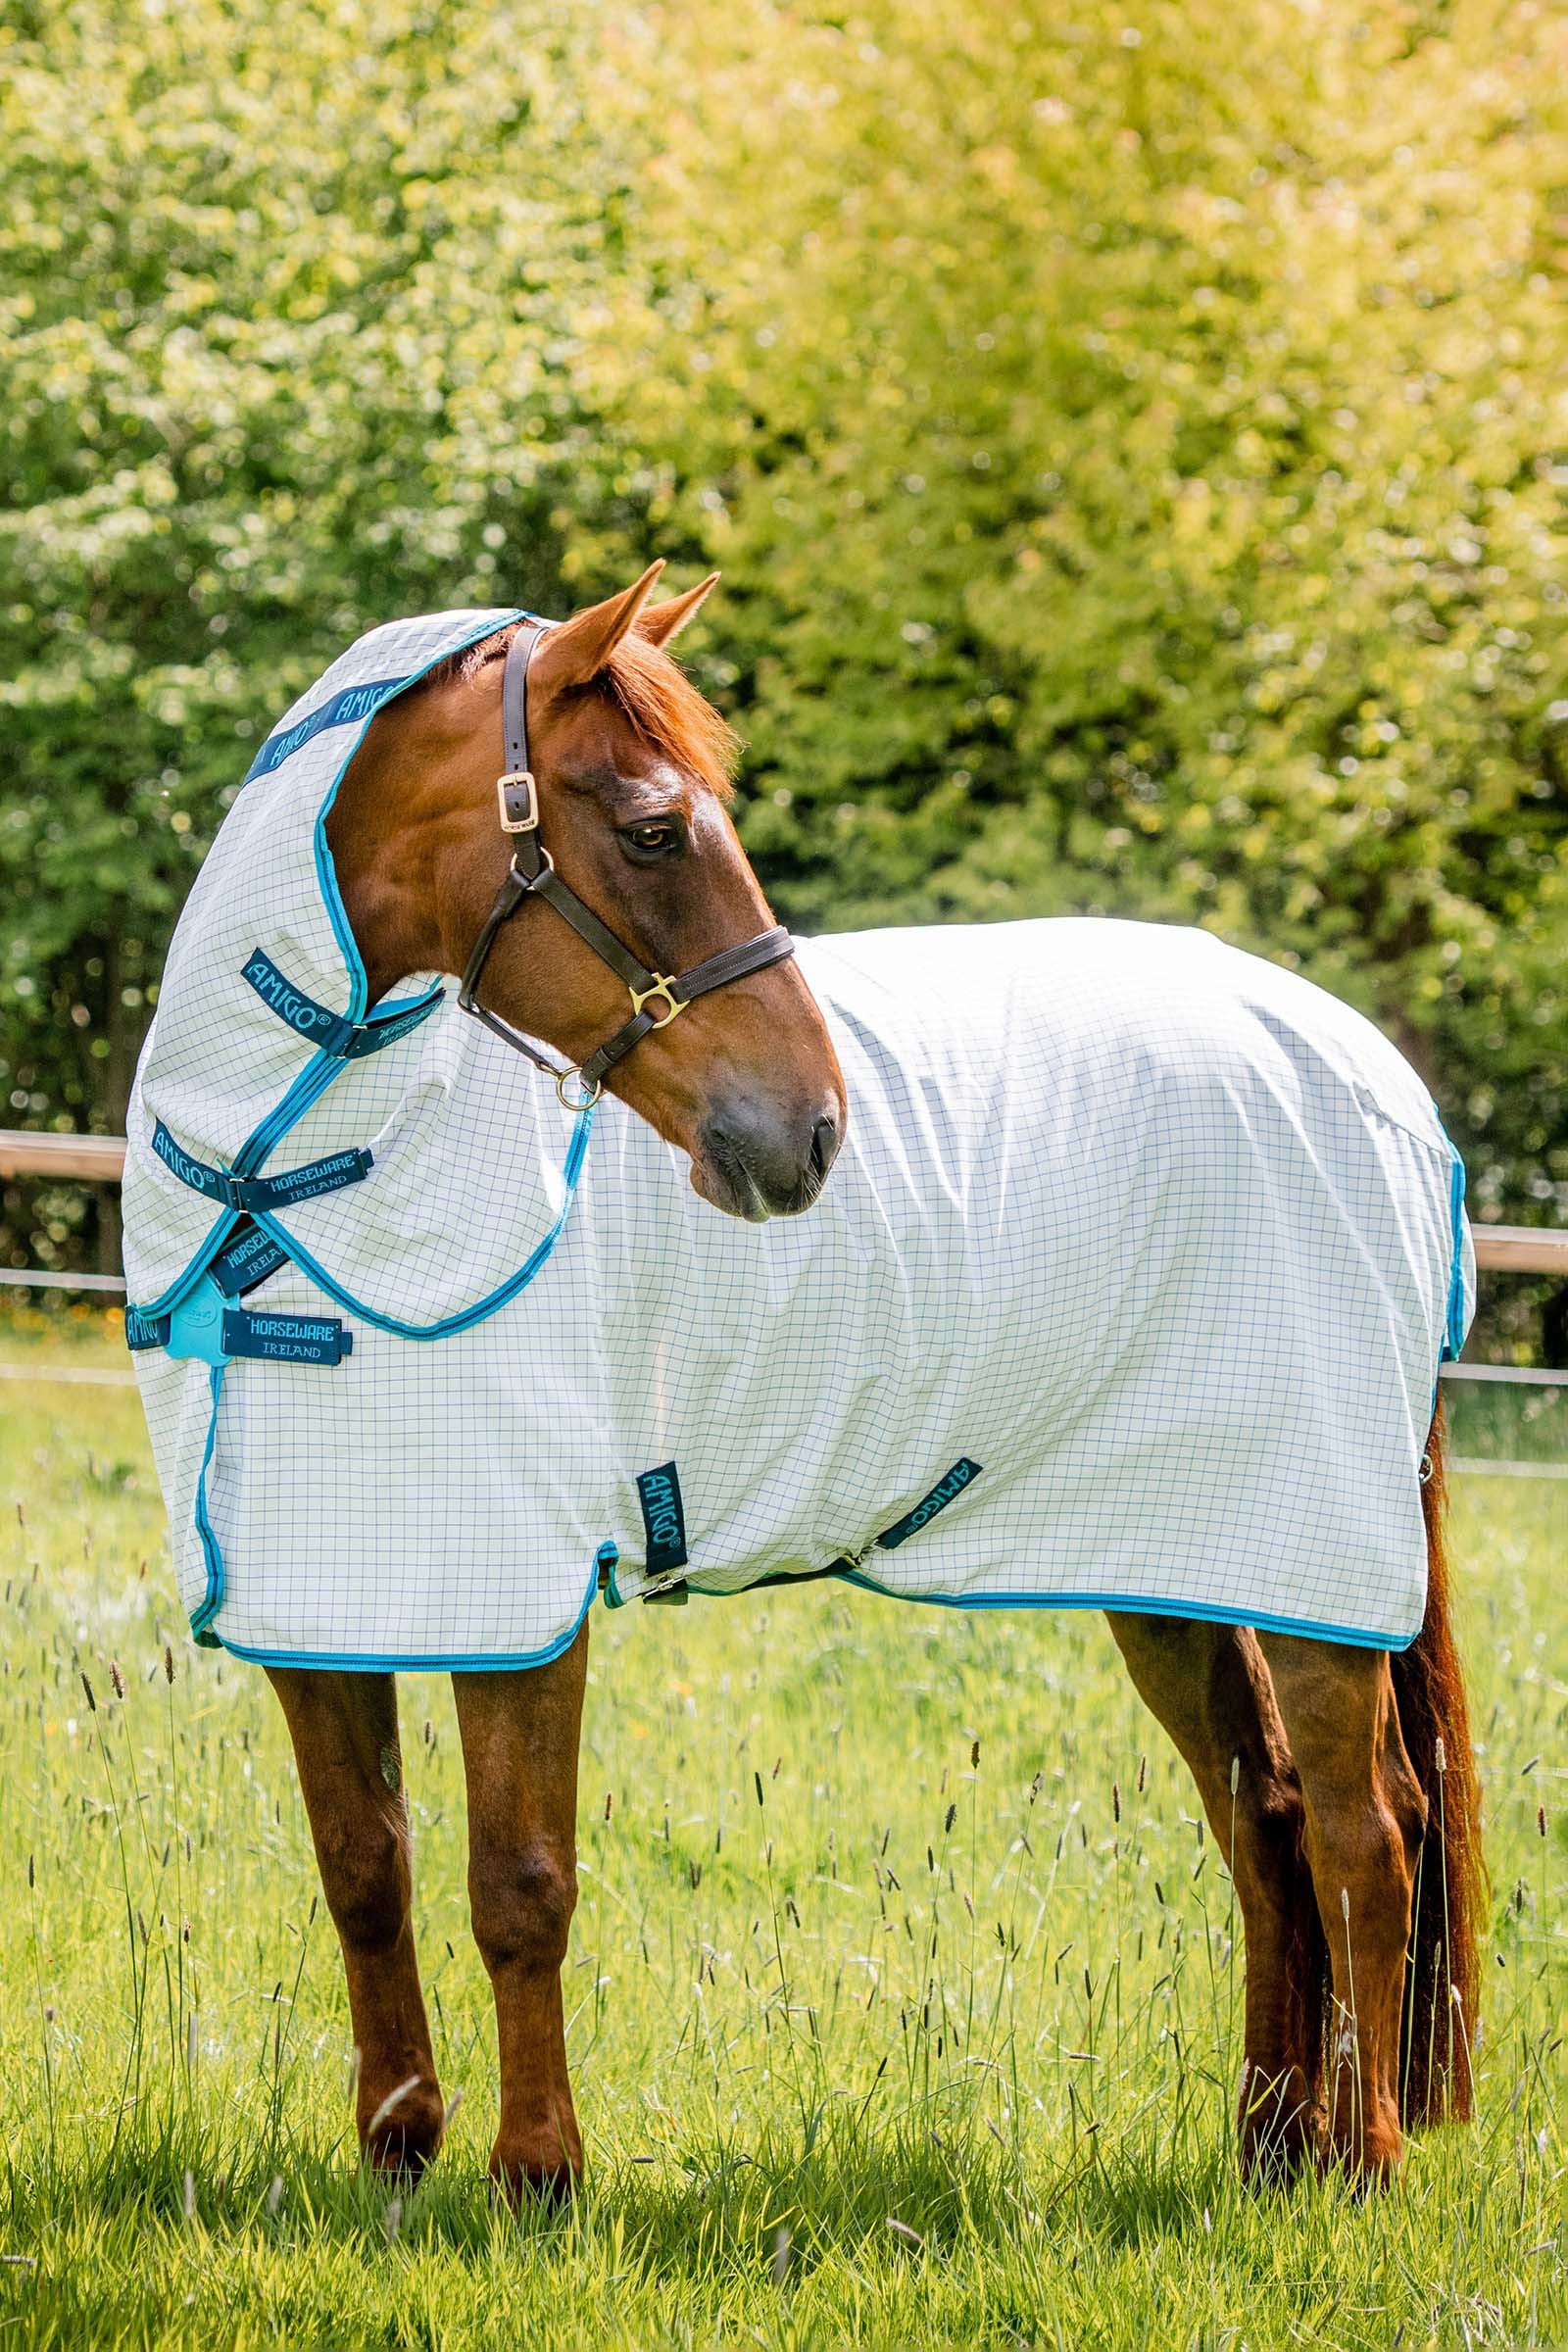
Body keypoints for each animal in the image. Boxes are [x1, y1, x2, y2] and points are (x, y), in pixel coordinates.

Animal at [142, 562, 1484, 2198]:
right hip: (1173, 1562)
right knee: (1268, 1818)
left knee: (1370, 1832)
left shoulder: (524, 1605)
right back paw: (1270, 2146)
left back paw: (1361, 2163)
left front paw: (537, 2177)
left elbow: (518, 1882)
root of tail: (1379, 1081)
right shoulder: (321, 1604)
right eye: (657, 829)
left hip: (1310, 1557)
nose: (813, 1131)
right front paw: (400, 2155)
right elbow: (363, 1870)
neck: (283, 1197)